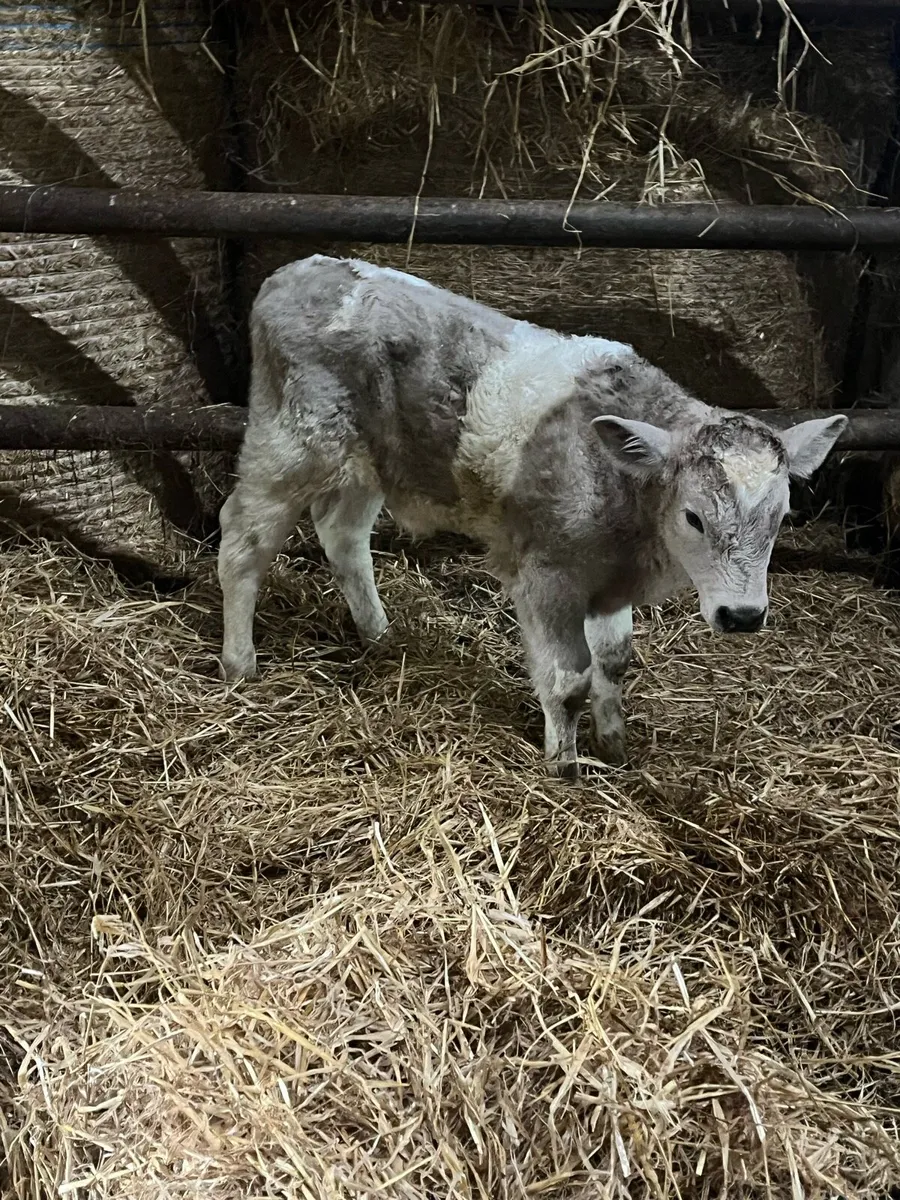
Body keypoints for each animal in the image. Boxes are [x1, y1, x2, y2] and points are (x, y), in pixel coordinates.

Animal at [217, 255, 846, 778]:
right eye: (693, 517)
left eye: (782, 517)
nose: (742, 616)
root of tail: (295, 272)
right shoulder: (548, 575)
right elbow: (569, 679)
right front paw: (564, 768)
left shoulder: (606, 584)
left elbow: (614, 662)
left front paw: (615, 747)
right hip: (291, 441)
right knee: (243, 540)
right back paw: (239, 663)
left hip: (370, 462)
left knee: (343, 537)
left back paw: (379, 636)